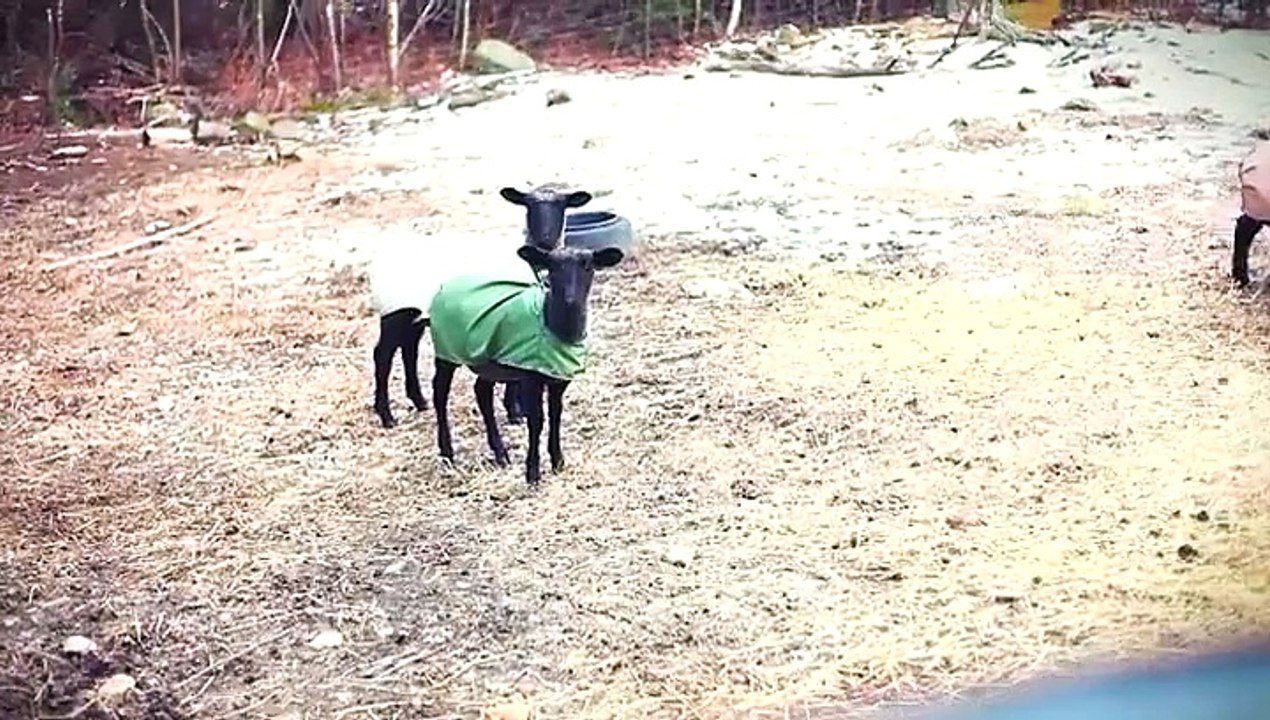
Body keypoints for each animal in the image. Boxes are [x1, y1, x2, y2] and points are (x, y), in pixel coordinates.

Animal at [369, 185, 593, 428]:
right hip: (394, 312)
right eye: (529, 206)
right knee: (383, 355)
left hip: (414, 316)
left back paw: (419, 401)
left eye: (562, 206)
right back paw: (386, 415)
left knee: (409, 350)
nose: (546, 240)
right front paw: (515, 412)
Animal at [428, 243, 624, 486]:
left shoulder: (558, 378)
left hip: (488, 360)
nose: (570, 300)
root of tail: (448, 284)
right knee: (440, 393)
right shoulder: (531, 377)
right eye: (552, 267)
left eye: (588, 266)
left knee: (482, 392)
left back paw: (500, 454)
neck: (551, 324)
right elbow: (537, 421)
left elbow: (556, 415)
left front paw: (558, 462)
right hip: (446, 351)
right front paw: (533, 474)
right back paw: (447, 453)